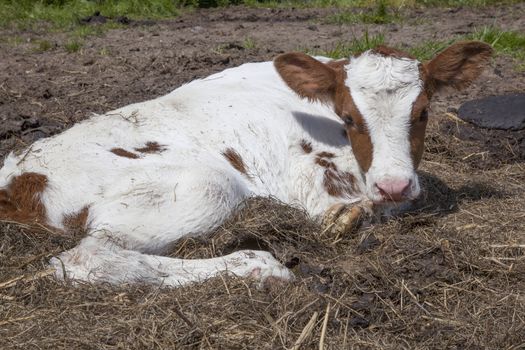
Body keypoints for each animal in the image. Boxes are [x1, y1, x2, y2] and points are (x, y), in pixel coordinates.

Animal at [0, 41, 492, 288]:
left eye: (423, 112)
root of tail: (16, 179)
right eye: (349, 117)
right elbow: (350, 209)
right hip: (204, 185)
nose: (394, 184)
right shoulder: (308, 176)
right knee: (88, 258)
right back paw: (257, 265)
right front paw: (351, 215)